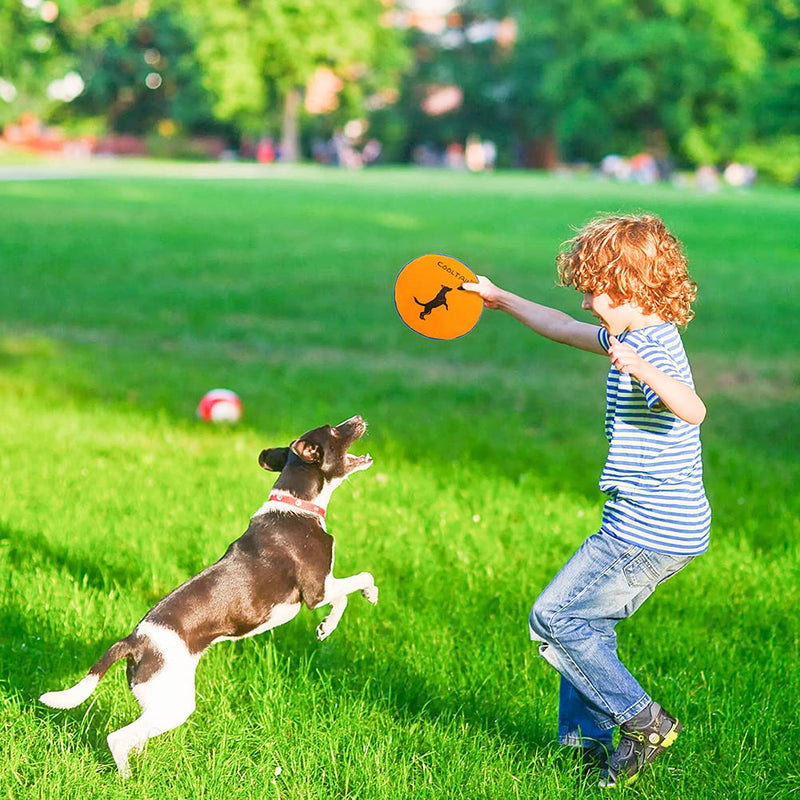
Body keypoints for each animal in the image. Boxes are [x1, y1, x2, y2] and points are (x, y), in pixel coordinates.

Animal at [42, 416, 380, 780]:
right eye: (333, 430)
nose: (358, 419)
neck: (297, 505)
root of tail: (134, 641)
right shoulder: (316, 589)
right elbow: (359, 580)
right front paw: (366, 596)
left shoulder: (322, 589)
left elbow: (342, 598)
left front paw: (325, 627)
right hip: (174, 704)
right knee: (118, 738)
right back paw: (129, 779)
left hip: (161, 700)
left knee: (136, 734)